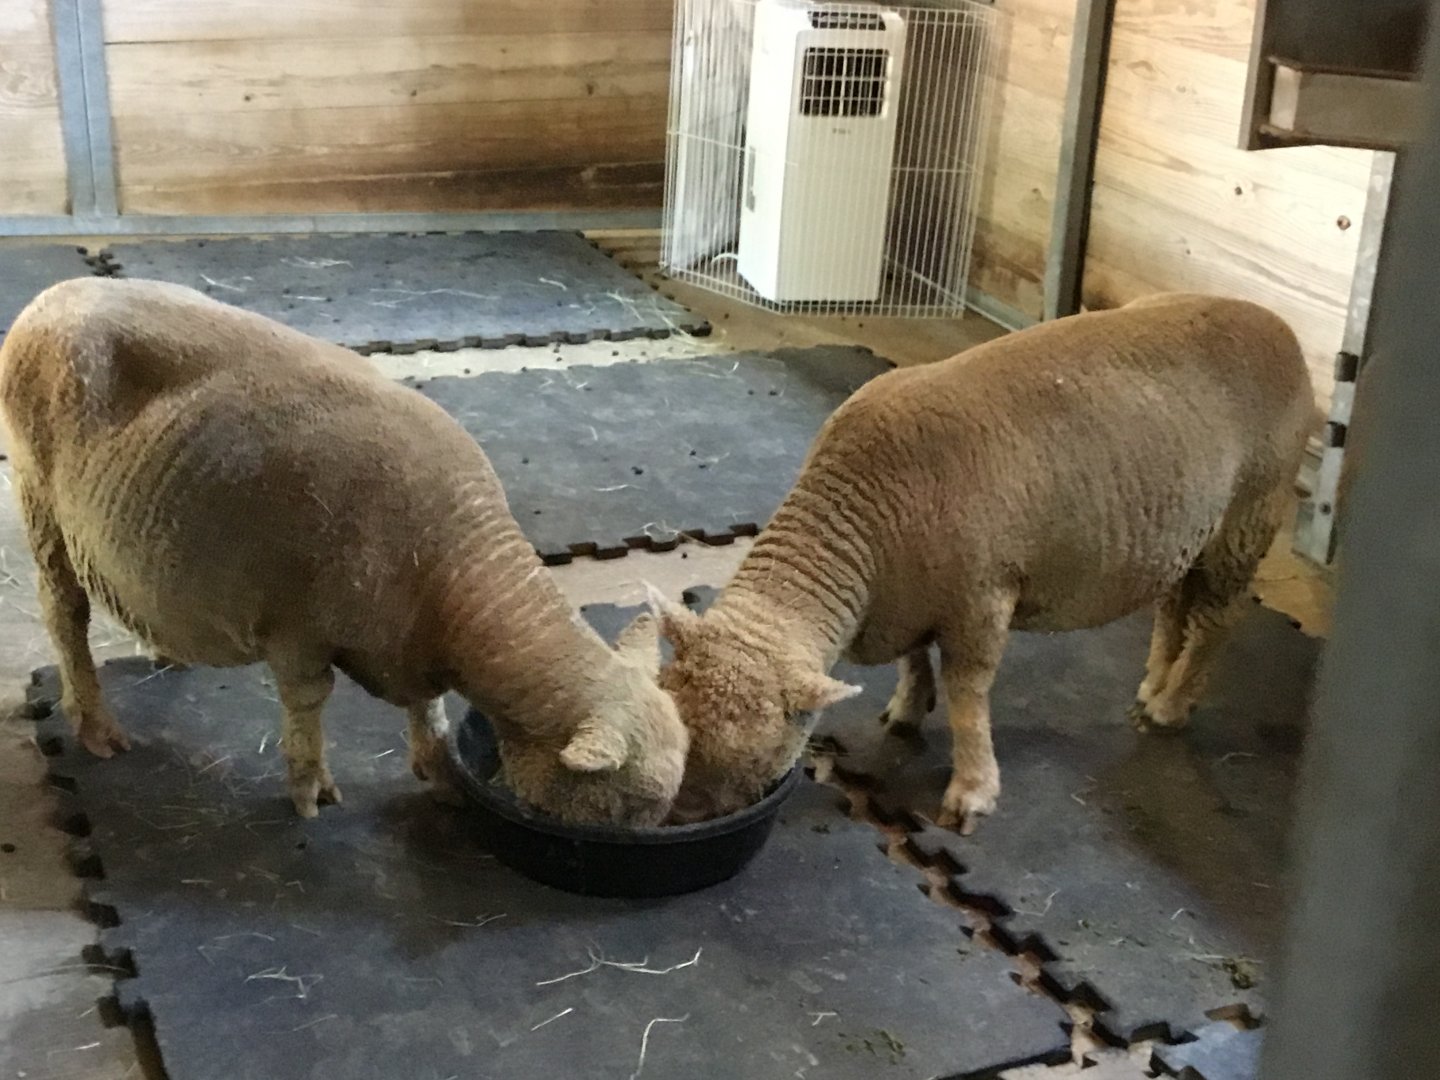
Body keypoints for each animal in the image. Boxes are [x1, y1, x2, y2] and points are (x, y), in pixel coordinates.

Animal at [0, 277, 687, 823]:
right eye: (629, 806)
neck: (454, 581)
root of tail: (51, 295)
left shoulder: (411, 647)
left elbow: (429, 709)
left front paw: (440, 773)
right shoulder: (298, 634)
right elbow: (310, 706)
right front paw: (311, 792)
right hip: (39, 496)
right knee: (64, 612)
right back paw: (95, 726)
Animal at [650, 294, 1315, 832]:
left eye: (754, 748)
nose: (677, 820)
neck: (858, 520)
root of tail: (1278, 324)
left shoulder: (981, 597)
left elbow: (968, 693)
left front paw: (972, 790)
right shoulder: (913, 600)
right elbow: (915, 659)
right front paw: (906, 710)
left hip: (1249, 513)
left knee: (1219, 619)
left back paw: (1174, 705)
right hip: (1191, 531)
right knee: (1176, 605)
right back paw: (1153, 687)